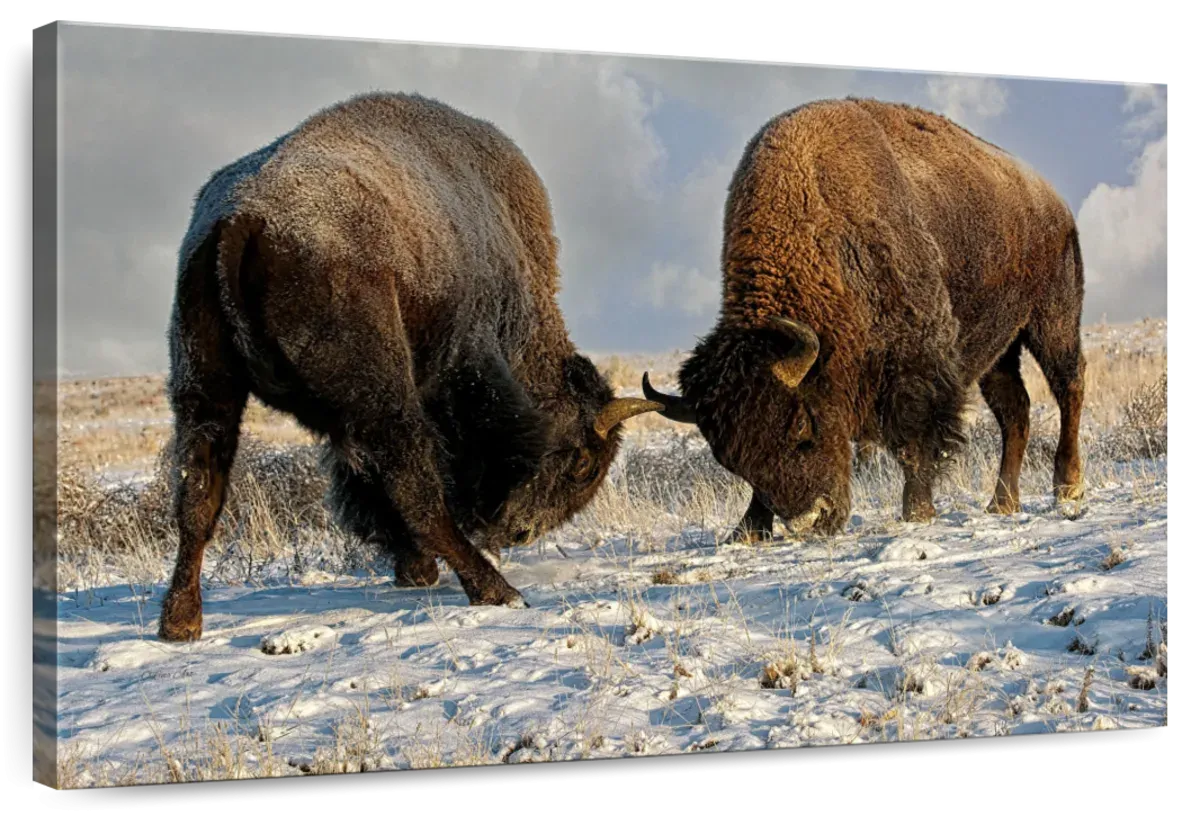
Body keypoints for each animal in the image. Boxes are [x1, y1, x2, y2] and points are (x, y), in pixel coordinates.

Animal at [153, 94, 662, 643]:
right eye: (583, 465)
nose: (521, 530)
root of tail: (241, 220)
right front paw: (420, 567)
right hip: (378, 397)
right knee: (415, 489)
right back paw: (497, 590)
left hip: (203, 385)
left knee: (197, 493)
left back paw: (180, 622)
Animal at [648, 97, 1089, 542]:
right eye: (730, 460)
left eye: (803, 427)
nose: (812, 521)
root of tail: (1054, 202)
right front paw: (747, 530)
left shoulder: (917, 365)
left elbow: (914, 441)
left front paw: (917, 512)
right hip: (1000, 349)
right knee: (1015, 410)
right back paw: (1001, 503)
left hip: (1052, 320)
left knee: (1068, 385)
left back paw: (1068, 486)